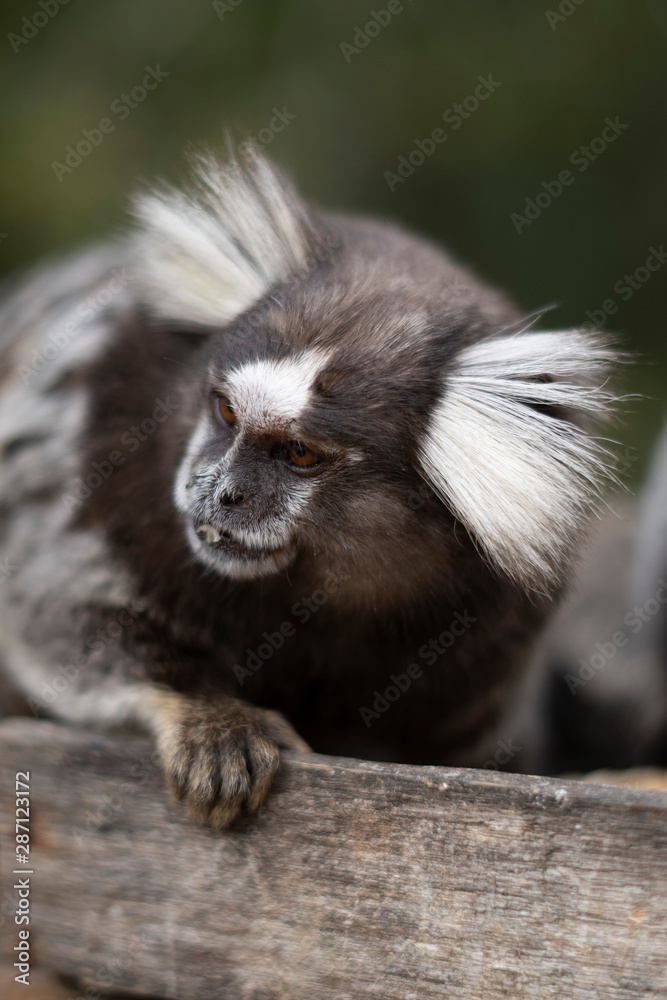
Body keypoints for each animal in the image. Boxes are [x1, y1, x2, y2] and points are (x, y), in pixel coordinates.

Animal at [0, 150, 619, 827]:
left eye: (299, 454)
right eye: (225, 411)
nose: (222, 494)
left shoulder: (495, 631)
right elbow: (59, 613)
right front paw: (211, 715)